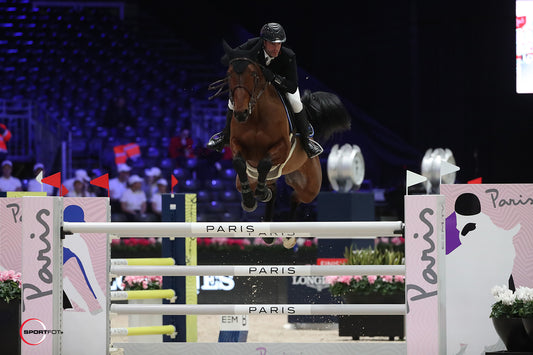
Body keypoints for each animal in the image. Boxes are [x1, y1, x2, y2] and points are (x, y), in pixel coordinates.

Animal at [210, 40, 352, 232]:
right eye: (229, 74)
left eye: (253, 74)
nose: (240, 113)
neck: (256, 116)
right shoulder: (236, 144)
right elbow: (239, 162)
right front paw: (250, 201)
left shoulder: (282, 148)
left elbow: (264, 163)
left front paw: (260, 194)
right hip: (250, 180)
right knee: (273, 188)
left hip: (310, 187)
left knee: (296, 197)